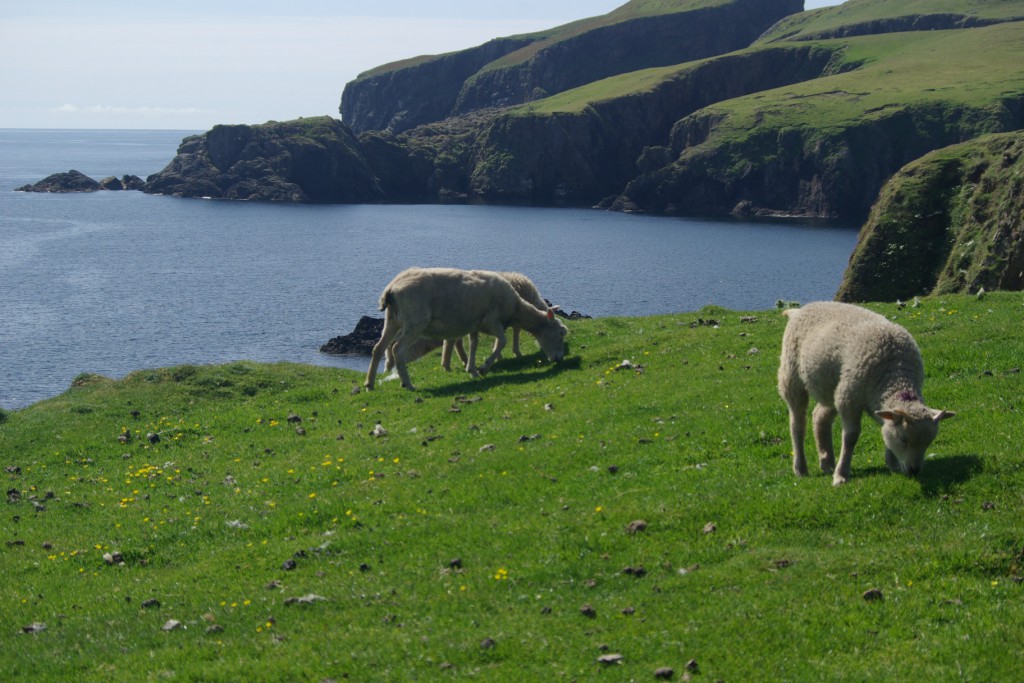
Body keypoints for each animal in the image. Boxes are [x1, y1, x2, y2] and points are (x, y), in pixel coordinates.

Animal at [364, 270, 569, 393]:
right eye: (560, 333)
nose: (559, 359)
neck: (516, 308)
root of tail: (392, 289)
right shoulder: (491, 320)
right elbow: (501, 342)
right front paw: (484, 367)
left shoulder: (475, 325)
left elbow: (473, 345)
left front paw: (472, 370)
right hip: (415, 321)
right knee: (397, 349)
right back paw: (408, 384)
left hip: (392, 320)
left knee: (378, 348)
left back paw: (370, 384)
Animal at [778, 301, 954, 485]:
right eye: (903, 440)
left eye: (929, 442)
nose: (914, 471)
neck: (895, 375)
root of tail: (799, 310)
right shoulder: (849, 400)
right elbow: (851, 437)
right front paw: (841, 475)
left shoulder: (860, 397)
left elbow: (885, 426)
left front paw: (892, 464)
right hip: (792, 377)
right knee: (797, 424)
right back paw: (801, 468)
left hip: (833, 386)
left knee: (819, 416)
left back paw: (827, 462)